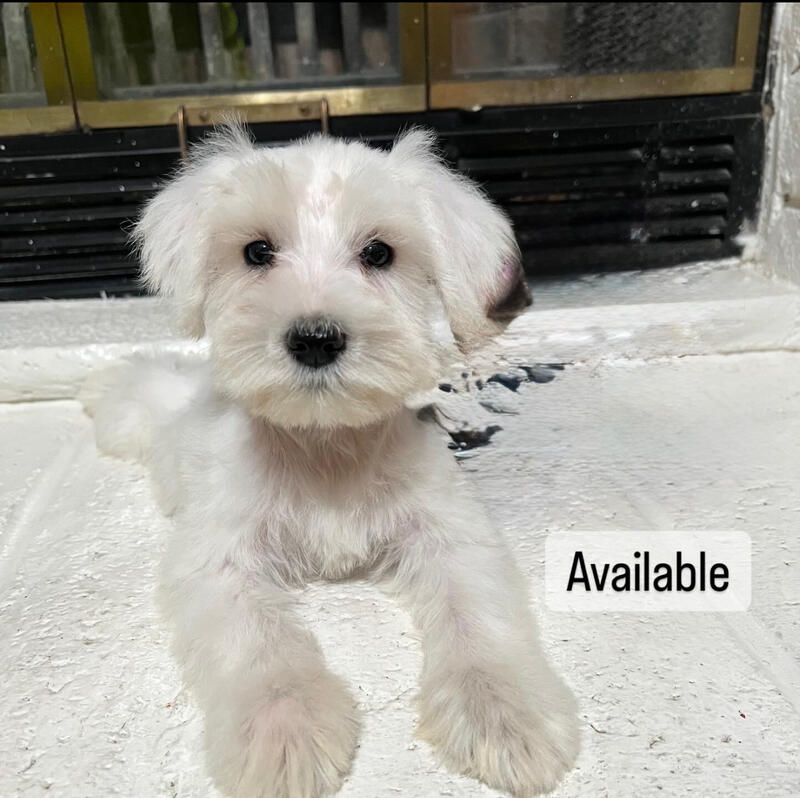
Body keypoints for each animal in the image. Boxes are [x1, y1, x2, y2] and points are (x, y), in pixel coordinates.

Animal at [82, 124, 579, 798]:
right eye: (257, 251)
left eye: (379, 253)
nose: (315, 338)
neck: (323, 443)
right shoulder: (220, 561)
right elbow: (259, 641)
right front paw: (284, 726)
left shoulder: (450, 535)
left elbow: (477, 616)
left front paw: (504, 711)